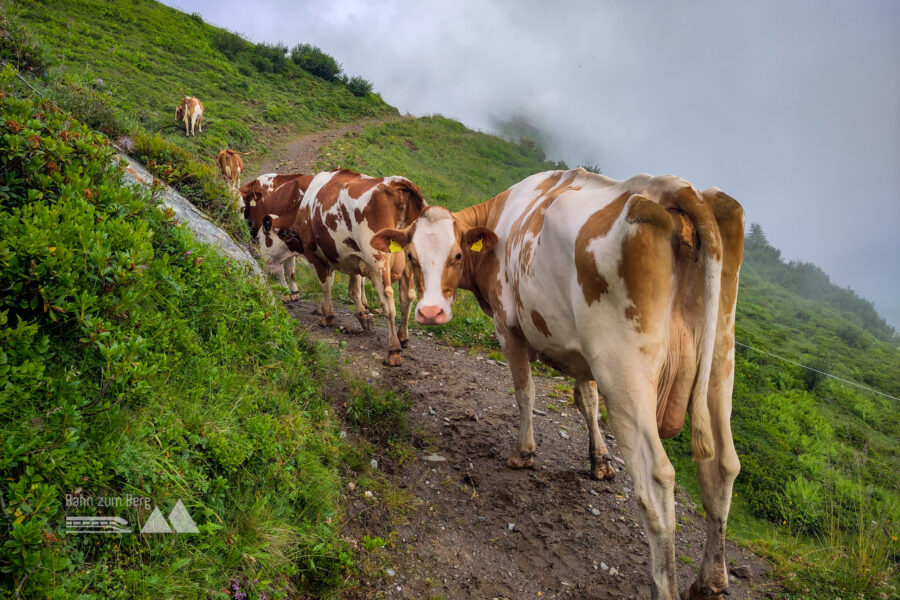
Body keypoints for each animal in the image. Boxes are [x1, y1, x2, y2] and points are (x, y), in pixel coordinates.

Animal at [288, 169, 428, 366]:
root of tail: (395, 182)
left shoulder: (315, 253)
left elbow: (326, 285)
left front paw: (327, 315)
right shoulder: (353, 258)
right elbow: (353, 288)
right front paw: (362, 316)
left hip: (378, 260)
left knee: (388, 301)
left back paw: (393, 349)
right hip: (409, 258)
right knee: (407, 296)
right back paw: (403, 337)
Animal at [372, 168, 744, 600]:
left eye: (457, 256)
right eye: (413, 256)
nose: (431, 312)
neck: (504, 217)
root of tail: (674, 188)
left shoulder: (509, 328)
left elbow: (525, 392)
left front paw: (524, 453)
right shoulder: (583, 355)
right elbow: (586, 400)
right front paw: (600, 461)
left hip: (625, 372)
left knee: (656, 481)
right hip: (720, 363)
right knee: (722, 466)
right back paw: (709, 580)